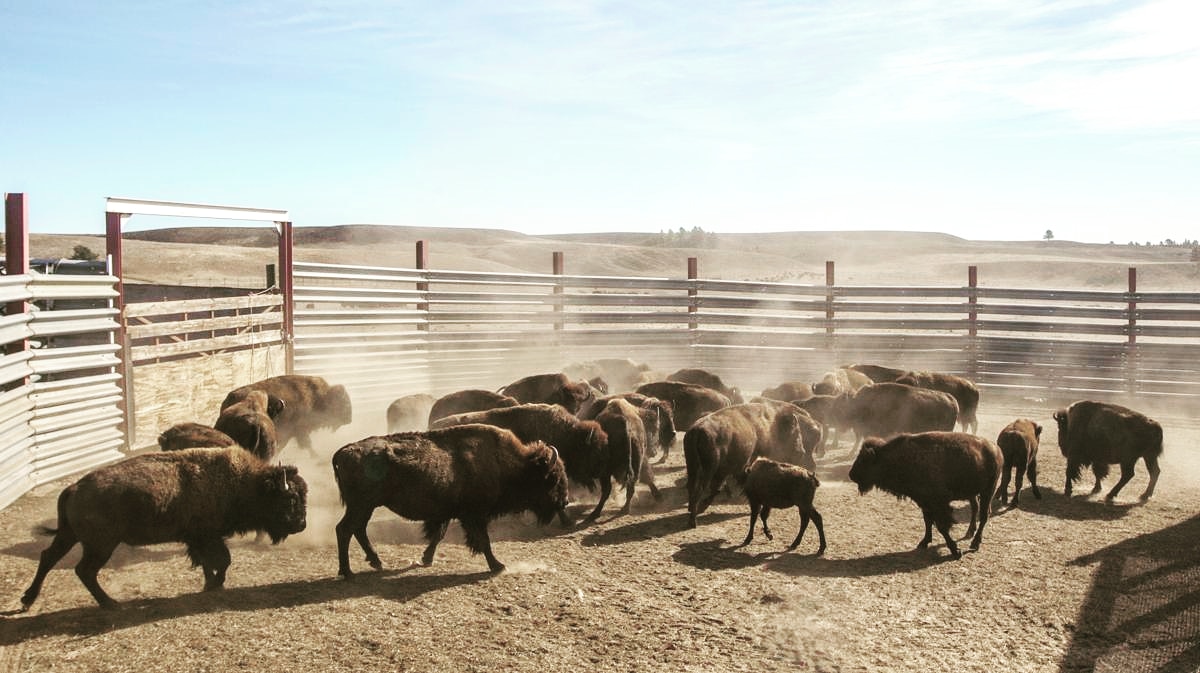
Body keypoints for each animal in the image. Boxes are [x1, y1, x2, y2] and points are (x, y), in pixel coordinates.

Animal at [21, 448, 307, 610]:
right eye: (291, 499)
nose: (302, 525)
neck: (244, 482)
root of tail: (74, 487)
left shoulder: (198, 540)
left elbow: (208, 562)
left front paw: (209, 583)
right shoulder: (207, 537)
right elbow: (223, 560)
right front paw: (215, 584)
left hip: (70, 536)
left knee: (49, 558)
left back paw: (28, 599)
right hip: (100, 545)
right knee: (84, 570)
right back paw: (111, 604)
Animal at [332, 425, 568, 575]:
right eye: (553, 478)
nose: (564, 501)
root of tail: (343, 451)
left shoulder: (448, 513)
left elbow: (438, 536)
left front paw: (426, 559)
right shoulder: (474, 516)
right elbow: (483, 540)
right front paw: (498, 566)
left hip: (366, 507)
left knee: (357, 529)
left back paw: (376, 563)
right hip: (361, 506)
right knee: (345, 529)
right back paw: (347, 571)